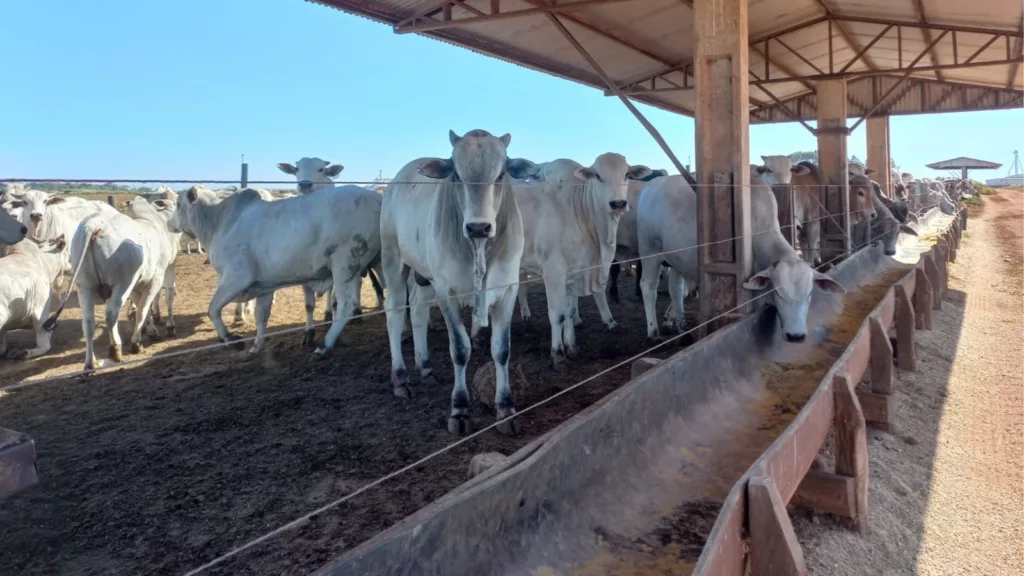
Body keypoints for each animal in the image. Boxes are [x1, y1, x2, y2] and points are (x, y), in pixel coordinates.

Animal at [168, 183, 385, 354]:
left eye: (178, 204)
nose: (169, 223)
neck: (220, 222)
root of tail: (377, 198)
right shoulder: (264, 285)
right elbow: (261, 316)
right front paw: (256, 346)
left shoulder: (236, 277)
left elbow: (212, 309)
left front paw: (232, 340)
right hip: (379, 262)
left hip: (345, 264)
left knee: (346, 305)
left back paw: (324, 346)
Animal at [380, 129, 540, 434]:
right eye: (456, 174)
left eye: (500, 174)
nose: (478, 227)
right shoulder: (446, 291)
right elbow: (460, 349)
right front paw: (460, 410)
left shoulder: (508, 289)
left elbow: (501, 349)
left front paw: (505, 409)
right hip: (393, 260)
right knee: (394, 312)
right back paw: (400, 378)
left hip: (425, 277)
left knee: (417, 310)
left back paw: (426, 368)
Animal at [516, 153, 651, 366]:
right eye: (598, 176)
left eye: (627, 174)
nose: (618, 204)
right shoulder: (554, 272)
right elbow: (556, 313)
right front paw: (558, 353)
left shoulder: (576, 272)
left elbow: (570, 311)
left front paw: (571, 347)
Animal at [638, 169, 847, 340]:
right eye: (777, 292)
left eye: (810, 293)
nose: (796, 336)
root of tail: (650, 185)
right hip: (649, 251)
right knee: (648, 286)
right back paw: (653, 331)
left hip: (676, 258)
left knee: (676, 287)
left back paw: (680, 323)